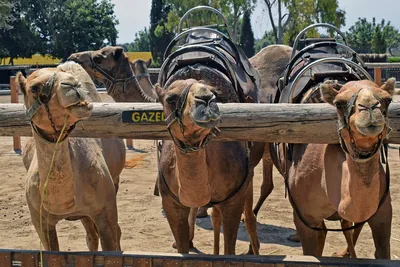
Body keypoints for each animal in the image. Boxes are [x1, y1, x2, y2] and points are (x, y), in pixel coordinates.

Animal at [18, 62, 136, 251]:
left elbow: (112, 241)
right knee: (91, 235)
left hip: (114, 183)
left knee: (109, 232)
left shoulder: (105, 209)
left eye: (62, 72)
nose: (72, 84)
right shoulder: (39, 221)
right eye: (34, 87)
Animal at [153, 79, 260, 255]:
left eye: (213, 92)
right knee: (213, 215)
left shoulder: (234, 201)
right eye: (170, 99)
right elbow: (182, 250)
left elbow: (230, 250)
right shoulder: (171, 204)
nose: (206, 98)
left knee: (249, 217)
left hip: (249, 175)